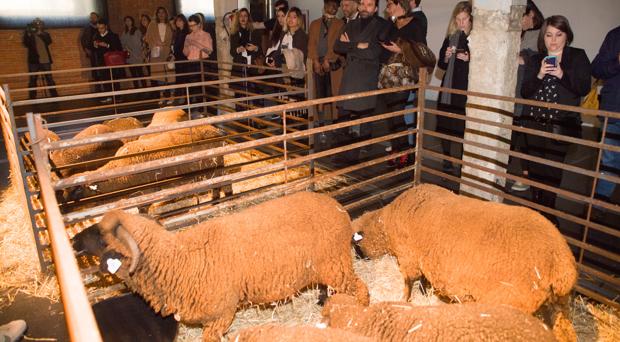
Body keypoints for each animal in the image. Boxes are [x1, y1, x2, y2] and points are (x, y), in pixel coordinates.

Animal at [65, 123, 232, 202]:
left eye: (75, 190)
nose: (63, 203)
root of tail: (216, 130)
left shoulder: (145, 193)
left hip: (215, 165)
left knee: (224, 181)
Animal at [86, 194, 368, 340]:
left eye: (101, 237)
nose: (77, 241)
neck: (180, 260)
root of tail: (338, 207)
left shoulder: (220, 315)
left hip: (336, 263)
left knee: (361, 288)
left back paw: (362, 313)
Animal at [352, 184, 580, 318]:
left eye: (354, 244)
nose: (358, 258)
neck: (386, 224)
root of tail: (562, 264)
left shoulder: (409, 256)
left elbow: (409, 283)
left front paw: (404, 300)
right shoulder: (424, 256)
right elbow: (425, 280)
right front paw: (426, 293)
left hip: (510, 301)